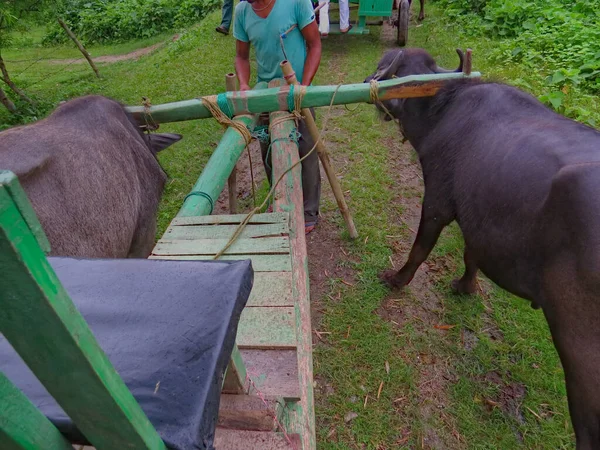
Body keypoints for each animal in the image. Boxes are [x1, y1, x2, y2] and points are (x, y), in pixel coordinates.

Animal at [368, 47, 600, 448]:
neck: (442, 108)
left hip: (583, 356)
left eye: (389, 66)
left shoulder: (438, 200)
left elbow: (420, 248)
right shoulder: (478, 216)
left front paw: (397, 279)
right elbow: (471, 252)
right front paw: (466, 286)